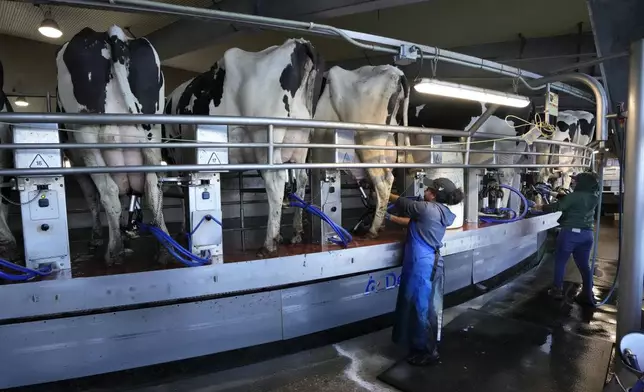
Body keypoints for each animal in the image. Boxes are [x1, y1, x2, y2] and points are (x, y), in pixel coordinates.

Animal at [56, 26, 169, 264]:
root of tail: (112, 32)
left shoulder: (76, 164)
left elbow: (92, 197)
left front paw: (97, 237)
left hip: (86, 135)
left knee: (108, 191)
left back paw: (114, 250)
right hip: (152, 130)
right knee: (153, 188)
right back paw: (163, 249)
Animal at [164, 36, 324, 258]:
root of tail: (297, 42)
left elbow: (182, 194)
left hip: (266, 139)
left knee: (276, 182)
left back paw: (269, 243)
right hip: (300, 143)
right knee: (301, 180)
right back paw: (296, 232)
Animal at [310, 64, 410, 239]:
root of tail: (397, 71)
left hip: (368, 141)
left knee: (383, 181)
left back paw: (372, 230)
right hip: (388, 144)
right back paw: (379, 224)